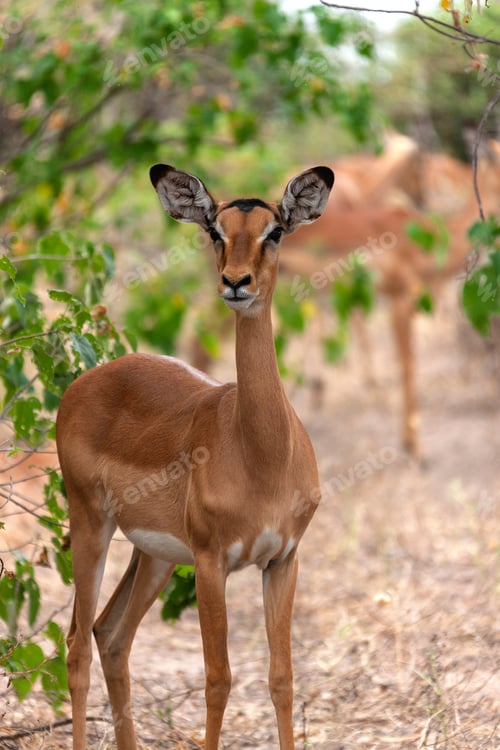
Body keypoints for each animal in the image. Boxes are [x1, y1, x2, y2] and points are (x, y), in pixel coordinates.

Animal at [56, 163, 334, 750]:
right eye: (215, 231)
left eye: (276, 231)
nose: (236, 282)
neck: (262, 456)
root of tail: (86, 381)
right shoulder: (211, 563)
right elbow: (218, 679)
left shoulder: (283, 559)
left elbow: (282, 678)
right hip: (91, 524)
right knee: (76, 645)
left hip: (153, 555)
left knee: (110, 635)